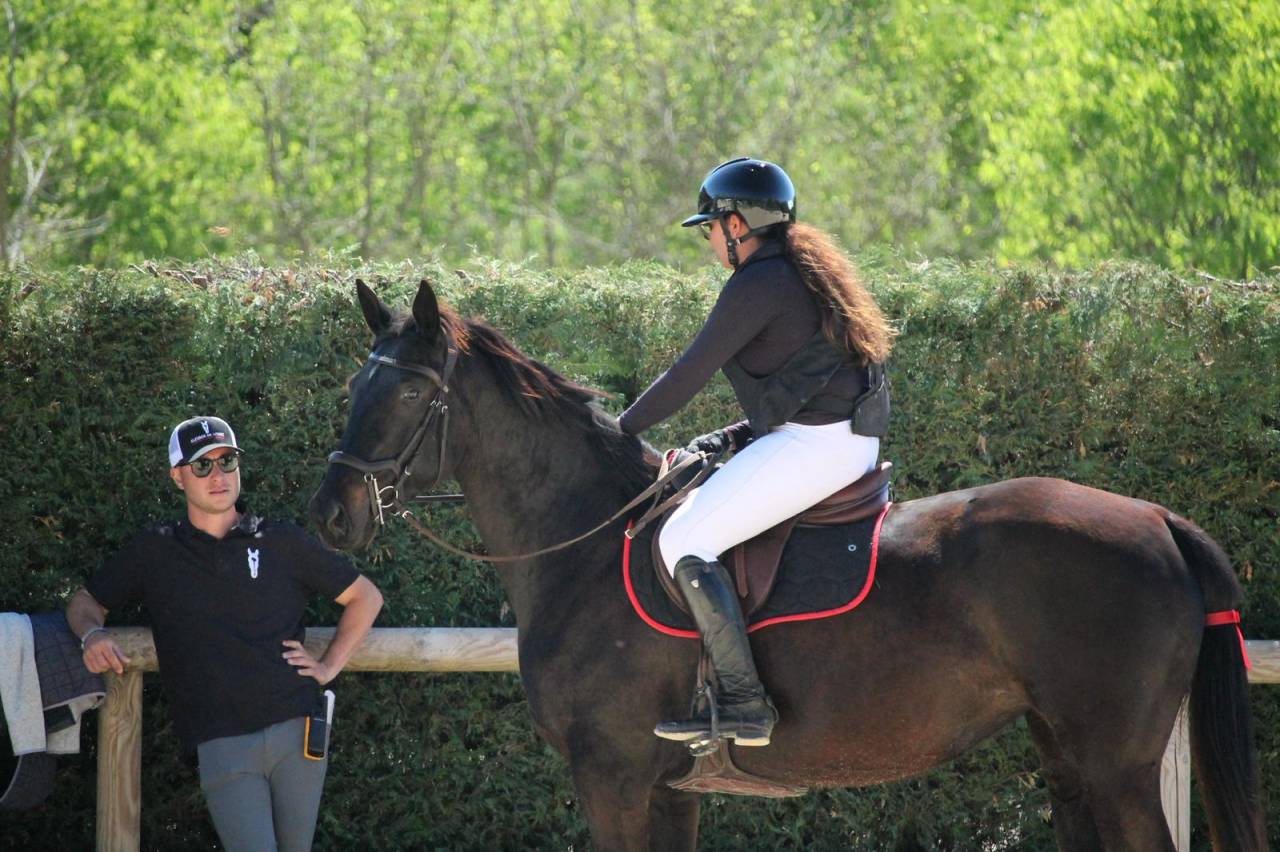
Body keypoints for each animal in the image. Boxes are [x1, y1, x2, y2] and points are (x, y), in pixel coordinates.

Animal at [309, 279, 1264, 851]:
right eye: (351, 386)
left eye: (405, 391)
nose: (332, 514)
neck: (583, 539)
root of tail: (1157, 518)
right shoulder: (668, 789)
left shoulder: (611, 775)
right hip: (1069, 762)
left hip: (1117, 767)